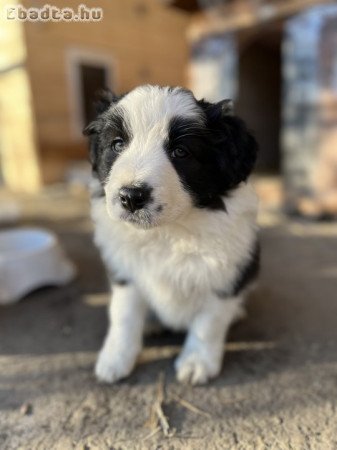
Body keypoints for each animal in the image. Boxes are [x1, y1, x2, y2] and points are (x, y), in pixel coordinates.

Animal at [83, 84, 258, 384]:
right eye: (117, 144)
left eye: (180, 151)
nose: (131, 197)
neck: (169, 232)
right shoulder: (124, 269)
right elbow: (123, 315)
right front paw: (115, 359)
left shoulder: (228, 271)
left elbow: (209, 322)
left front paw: (197, 363)